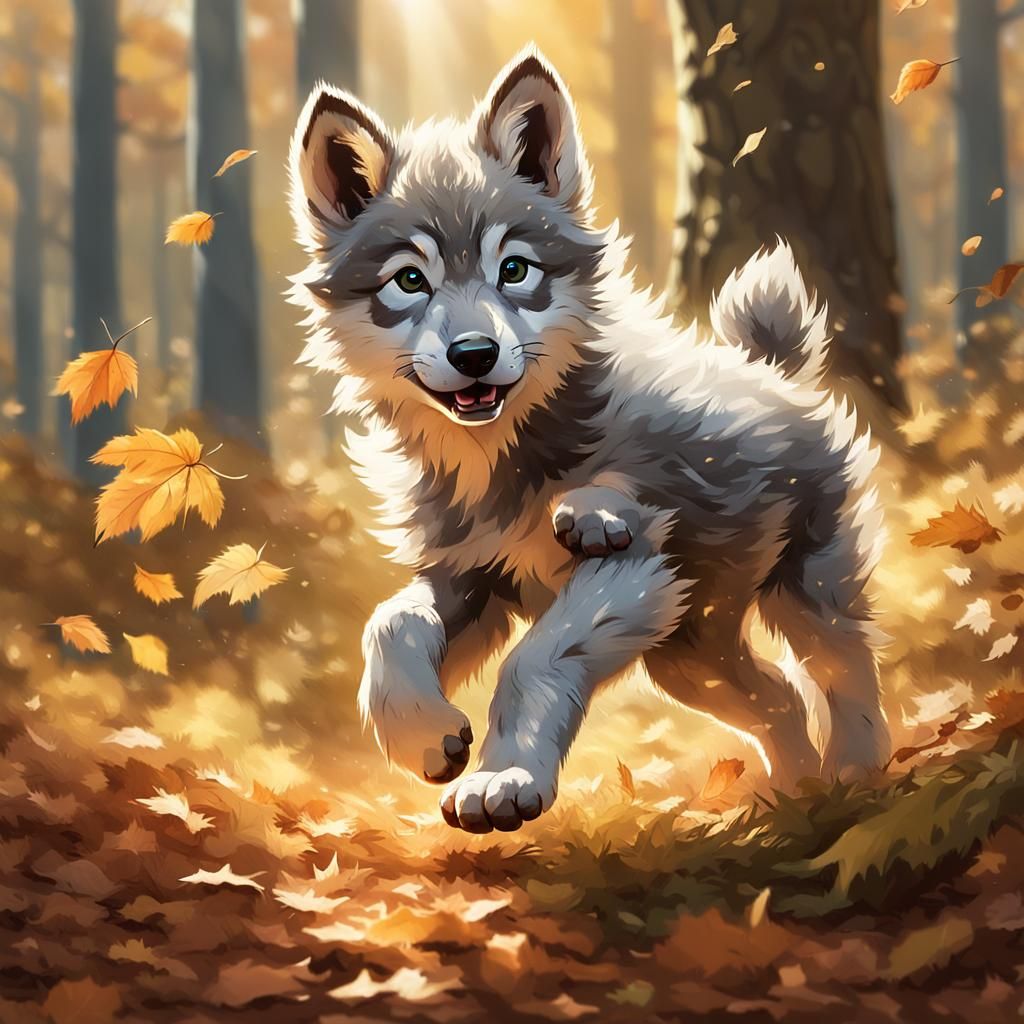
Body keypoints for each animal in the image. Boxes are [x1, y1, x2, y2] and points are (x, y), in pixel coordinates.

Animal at [287, 46, 889, 834]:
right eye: (409, 281)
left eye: (514, 269)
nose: (475, 354)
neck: (500, 459)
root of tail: (771, 368)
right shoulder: (467, 577)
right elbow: (390, 625)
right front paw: (425, 735)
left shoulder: (631, 569)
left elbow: (531, 662)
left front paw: (502, 780)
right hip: (688, 654)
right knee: (779, 699)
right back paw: (793, 798)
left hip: (803, 593)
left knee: (845, 674)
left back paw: (858, 779)